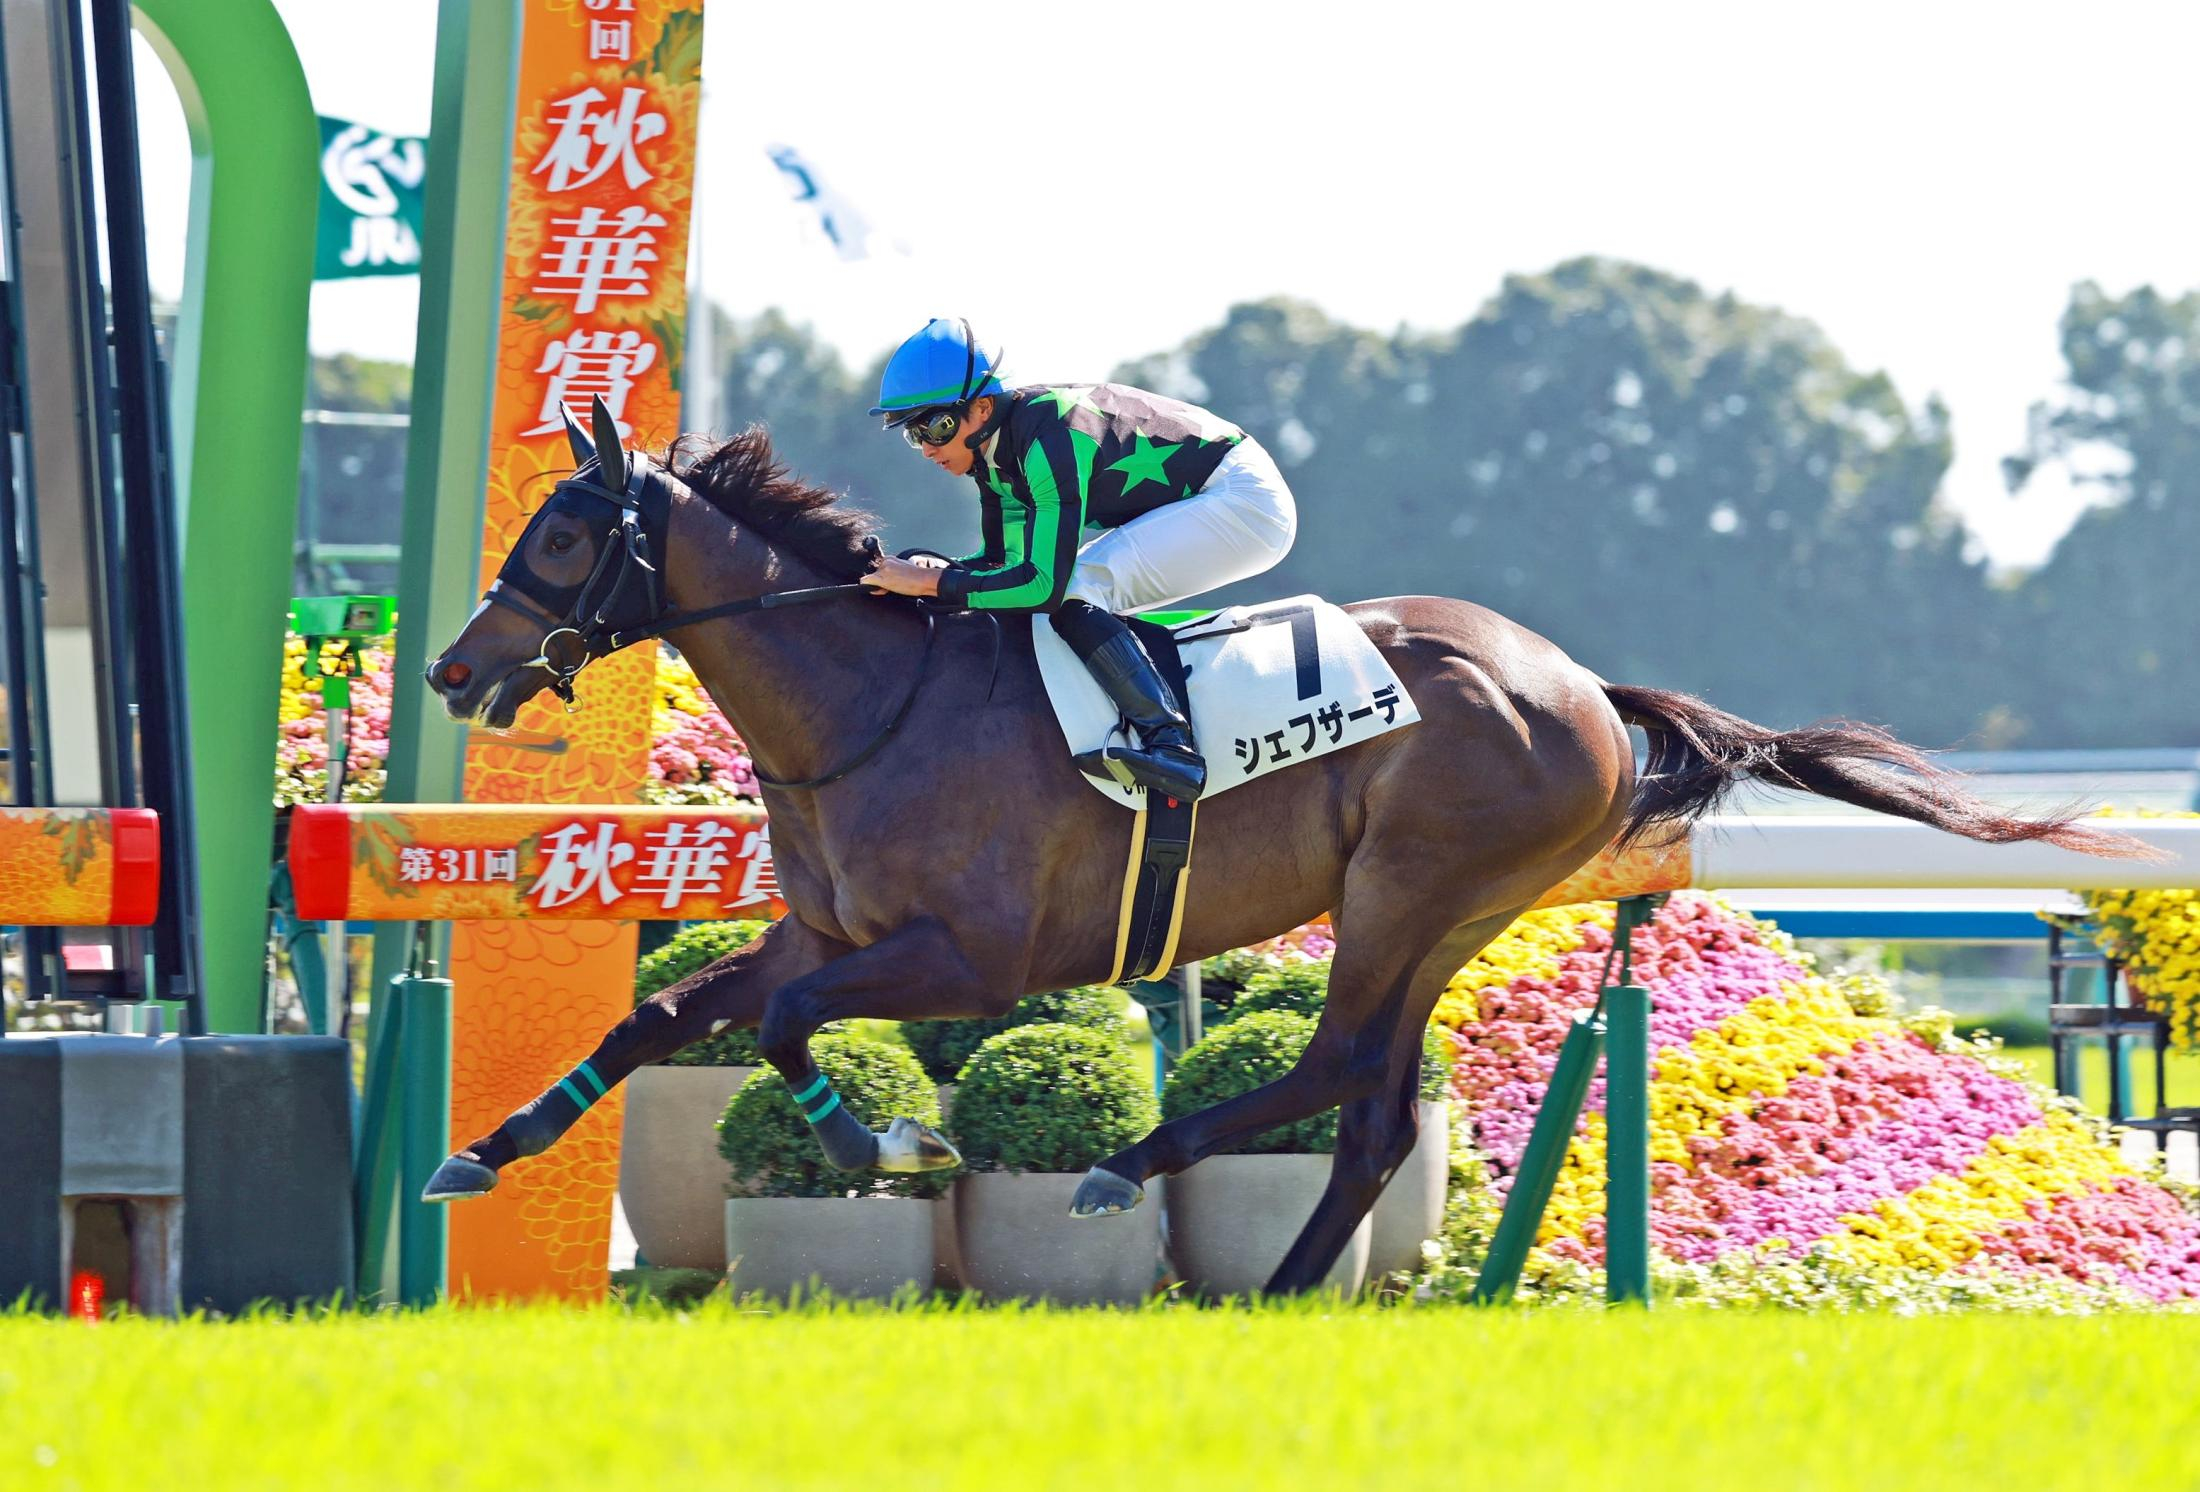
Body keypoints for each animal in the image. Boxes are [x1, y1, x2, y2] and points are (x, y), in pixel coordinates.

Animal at [418, 398, 2147, 1294]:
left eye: (561, 534)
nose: (450, 671)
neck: (872, 703)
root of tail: (1583, 687)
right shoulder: (829, 934)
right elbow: (665, 1013)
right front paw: (482, 1150)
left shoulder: (960, 956)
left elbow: (779, 1029)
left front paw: (887, 1147)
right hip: (1445, 914)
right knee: (1372, 1108)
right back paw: (1288, 1278)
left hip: (1412, 888)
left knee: (1334, 1074)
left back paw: (1130, 1169)